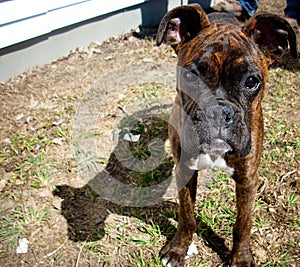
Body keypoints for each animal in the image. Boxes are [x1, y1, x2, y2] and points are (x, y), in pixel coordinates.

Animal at [156, 4, 296, 267]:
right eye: (191, 77)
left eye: (251, 81)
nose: (219, 112)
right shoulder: (184, 170)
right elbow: (186, 214)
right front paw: (179, 248)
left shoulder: (247, 179)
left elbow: (243, 224)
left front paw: (240, 258)